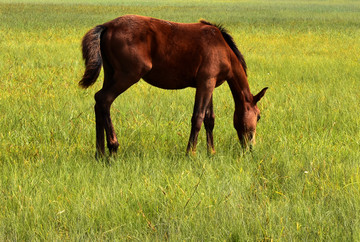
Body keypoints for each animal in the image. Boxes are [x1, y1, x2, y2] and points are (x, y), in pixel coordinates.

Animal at [79, 14, 268, 156]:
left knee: (98, 101)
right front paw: (190, 153)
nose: (251, 147)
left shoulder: (210, 84)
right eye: (258, 116)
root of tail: (107, 26)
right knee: (104, 99)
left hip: (111, 74)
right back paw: (113, 147)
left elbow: (209, 119)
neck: (222, 47)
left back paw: (100, 153)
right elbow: (197, 117)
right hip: (128, 75)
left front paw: (211, 152)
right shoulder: (205, 82)